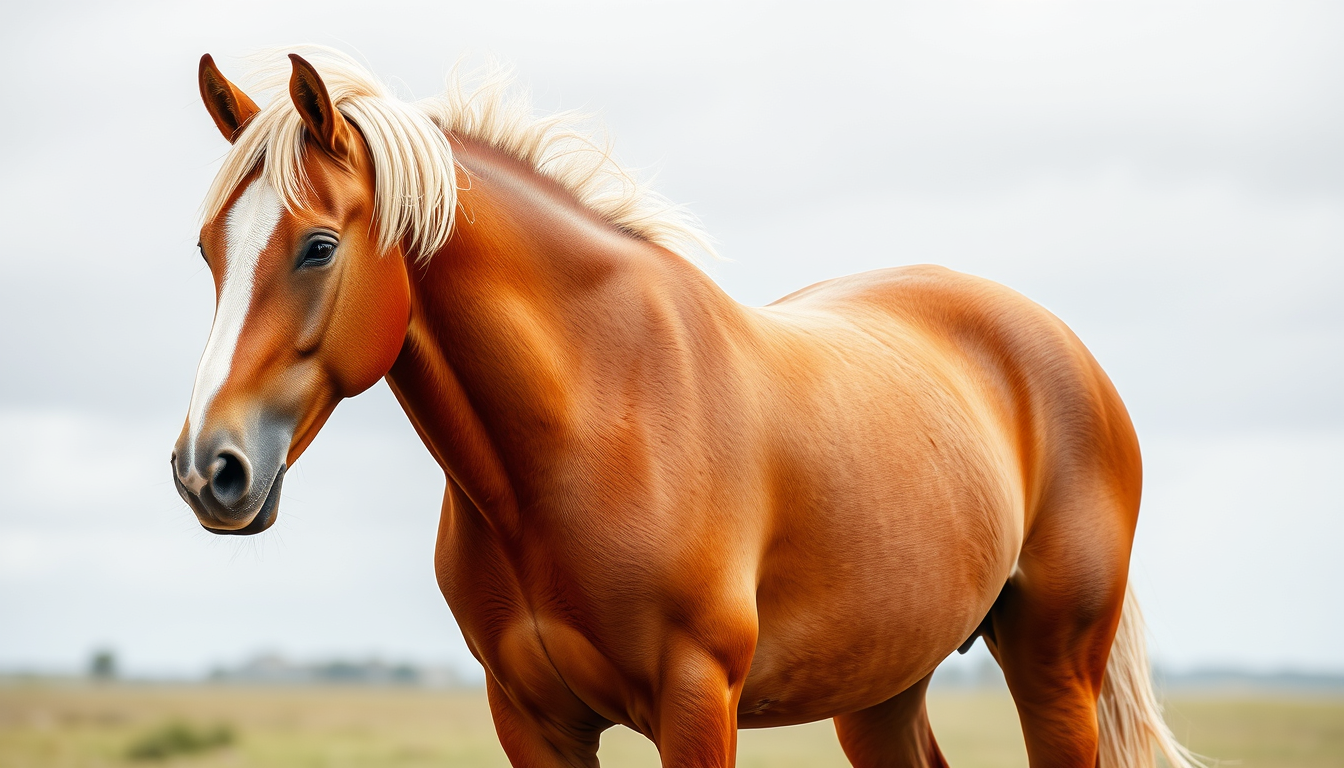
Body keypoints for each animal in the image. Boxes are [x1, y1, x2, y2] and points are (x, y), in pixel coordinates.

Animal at [171, 47, 1200, 768]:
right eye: (208, 248)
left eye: (316, 247)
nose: (206, 469)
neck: (591, 423)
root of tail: (1060, 347)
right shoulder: (532, 719)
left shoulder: (698, 702)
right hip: (883, 688)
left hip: (1054, 669)